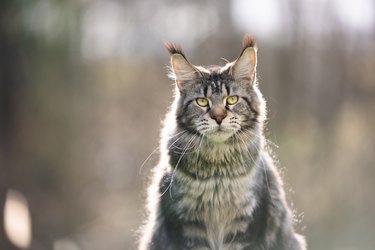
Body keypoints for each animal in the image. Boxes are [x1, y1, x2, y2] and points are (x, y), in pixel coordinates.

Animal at [138, 35, 306, 250]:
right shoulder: (189, 225)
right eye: (202, 102)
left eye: (232, 99)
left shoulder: (245, 223)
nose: (218, 117)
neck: (217, 172)